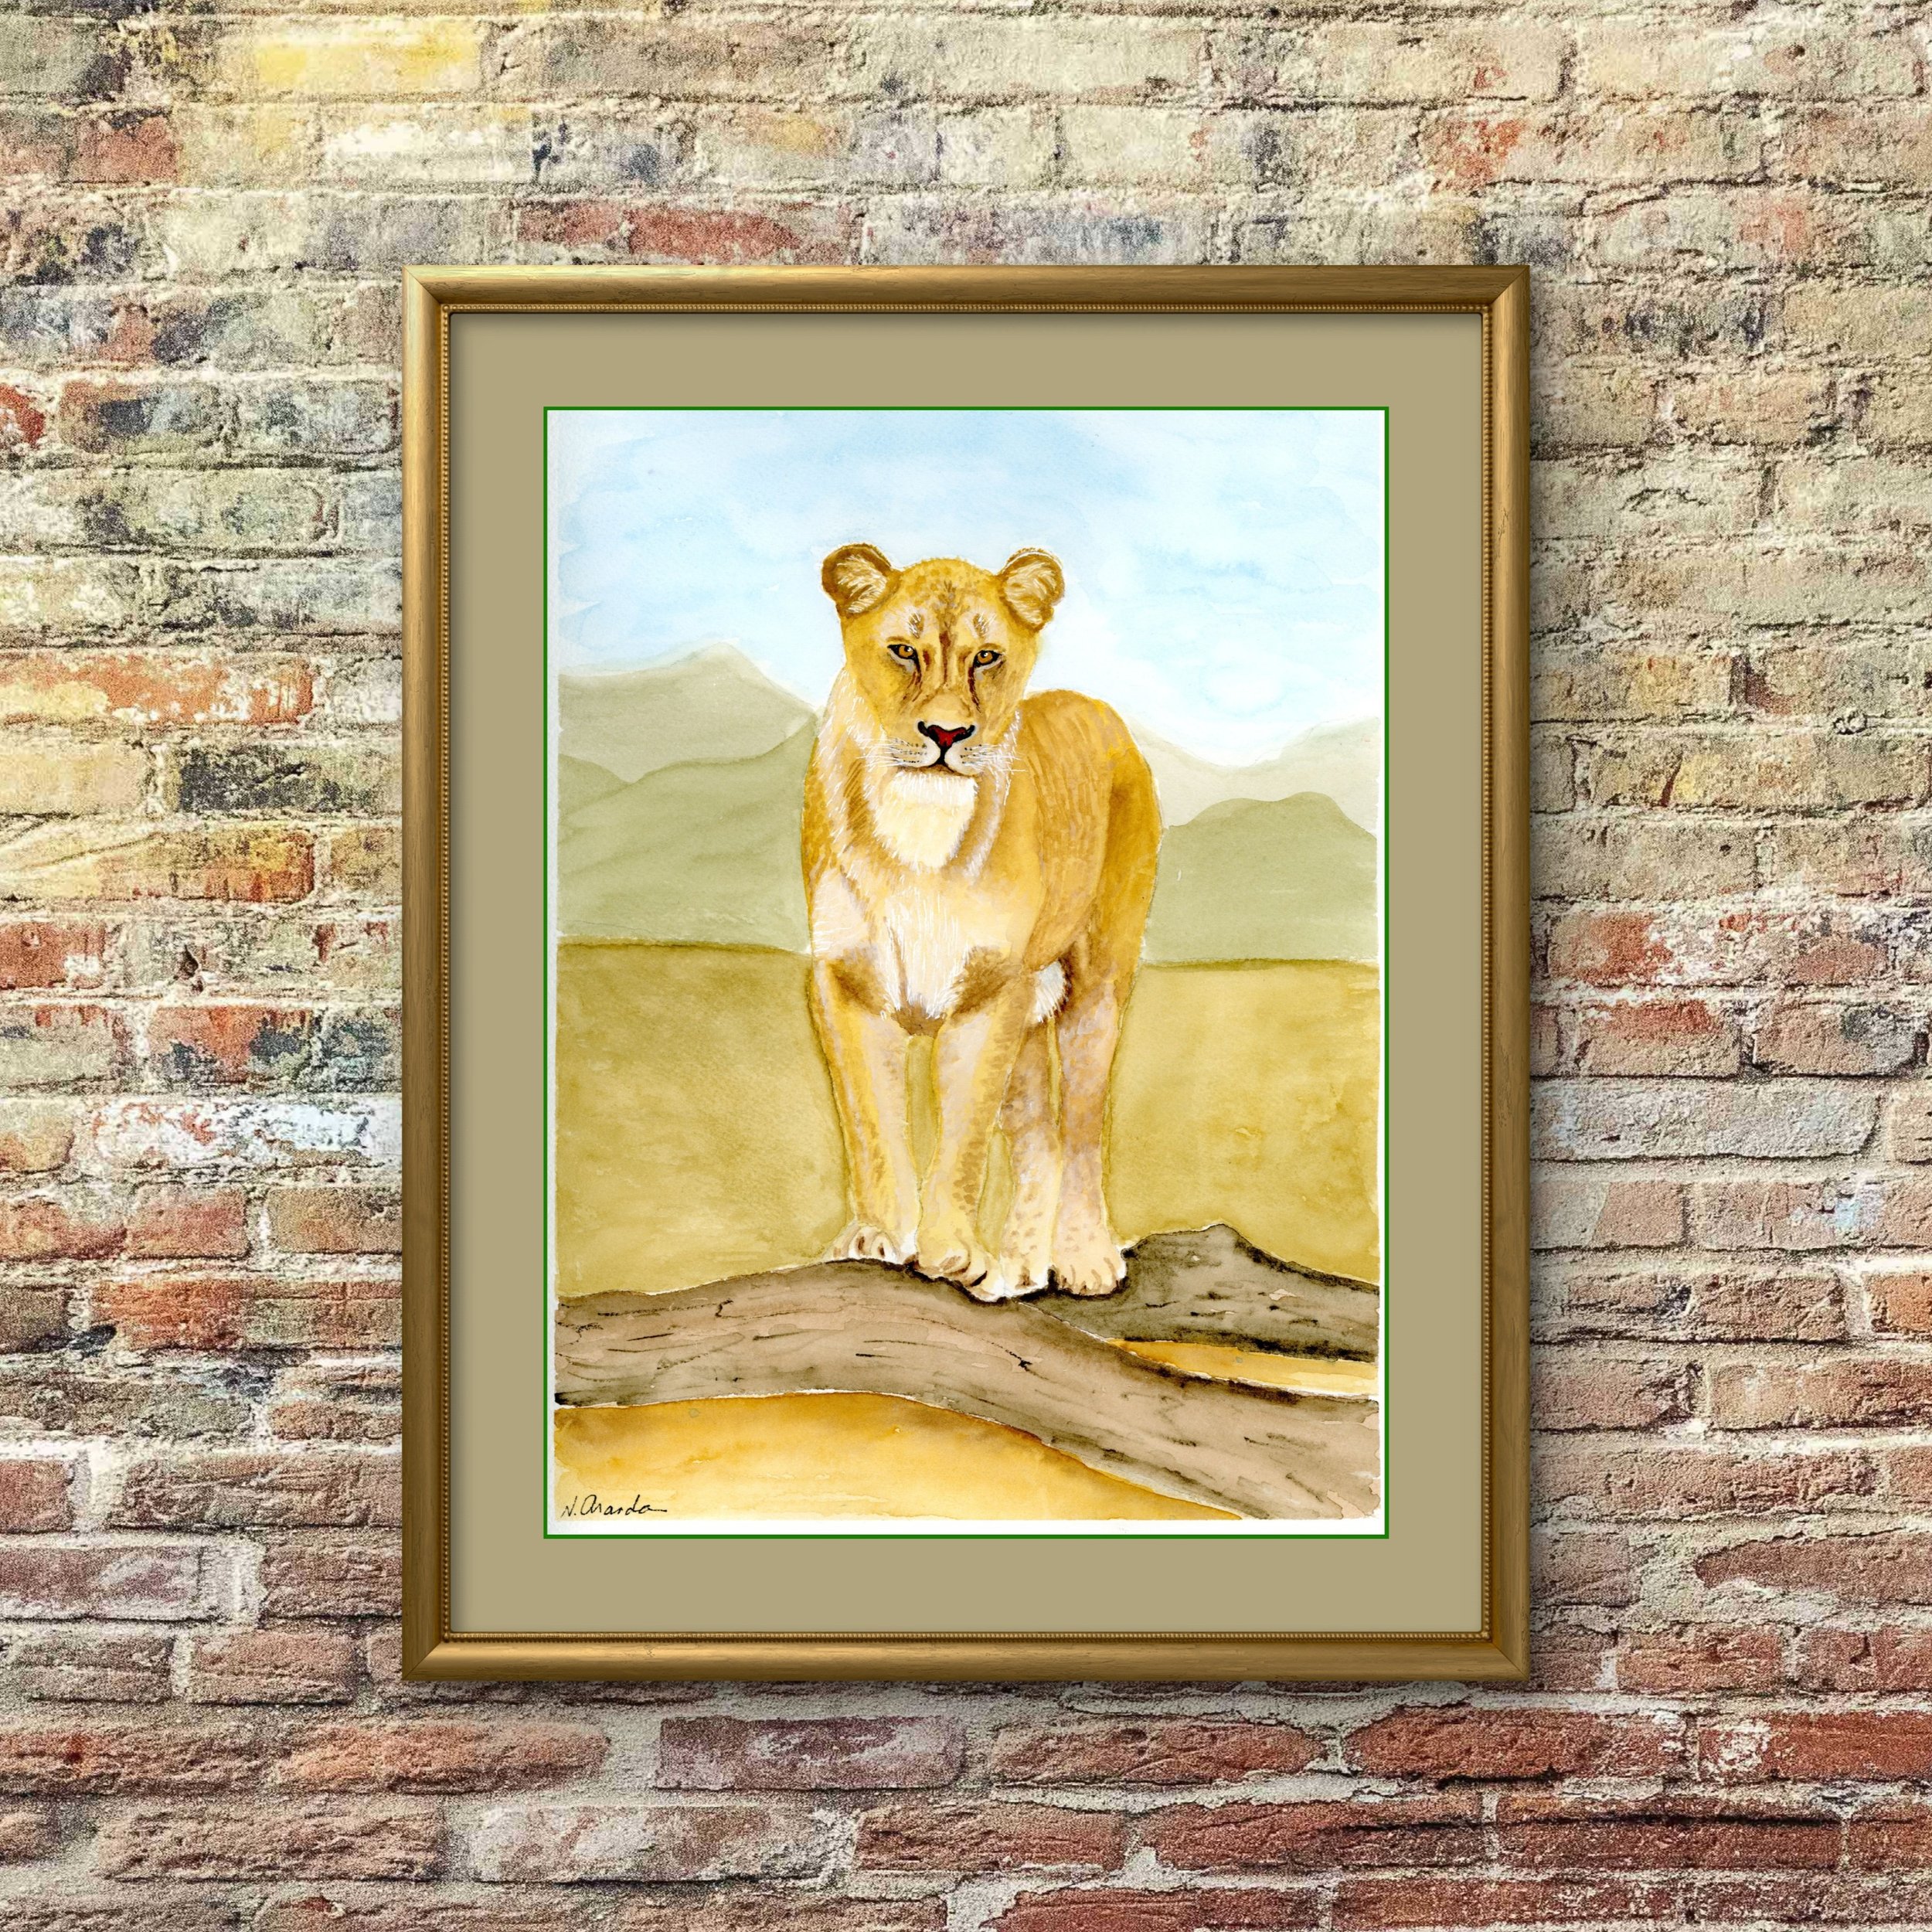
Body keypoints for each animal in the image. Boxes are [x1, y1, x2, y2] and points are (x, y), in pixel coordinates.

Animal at [802, 543, 1160, 1302]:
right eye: (903, 651)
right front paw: (879, 1236)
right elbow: (873, 1126)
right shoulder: (847, 986)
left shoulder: (990, 993)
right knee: (1040, 1138)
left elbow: (963, 1141)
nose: (945, 733)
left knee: (1082, 1130)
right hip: (1028, 1016)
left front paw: (949, 1249)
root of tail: (1097, 706)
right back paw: (1018, 1268)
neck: (919, 817)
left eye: (987, 657)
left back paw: (1083, 1258)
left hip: (1095, 988)